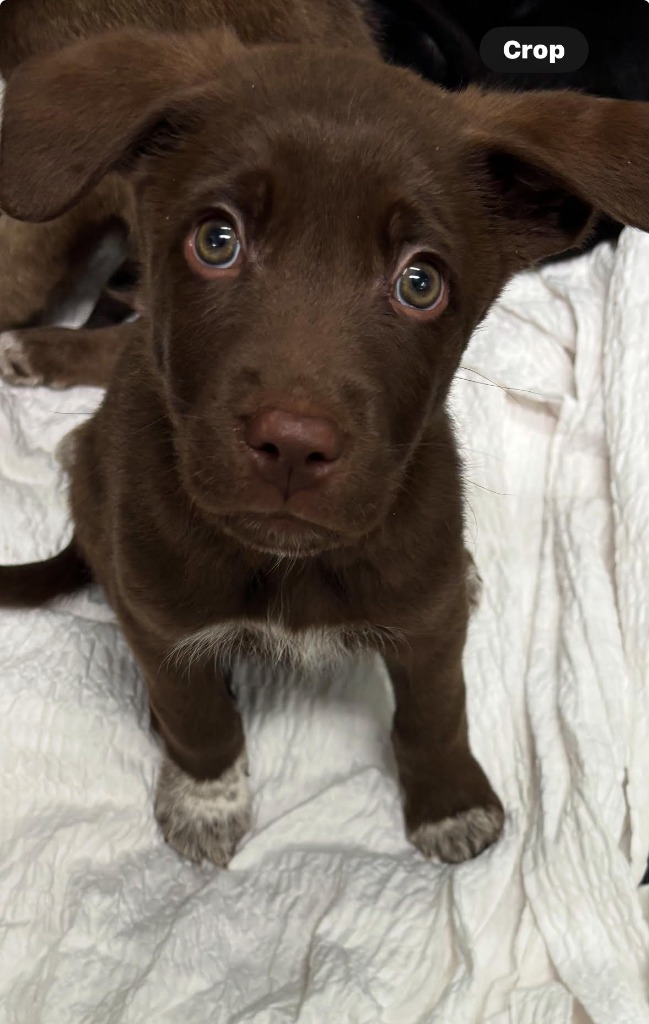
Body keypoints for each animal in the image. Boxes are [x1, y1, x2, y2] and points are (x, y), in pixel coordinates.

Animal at [2, 0, 646, 868]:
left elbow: (436, 706)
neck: (290, 565)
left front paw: (450, 803)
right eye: (216, 240)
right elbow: (198, 715)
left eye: (419, 282)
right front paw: (206, 798)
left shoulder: (425, 614)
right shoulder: (160, 615)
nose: (293, 446)